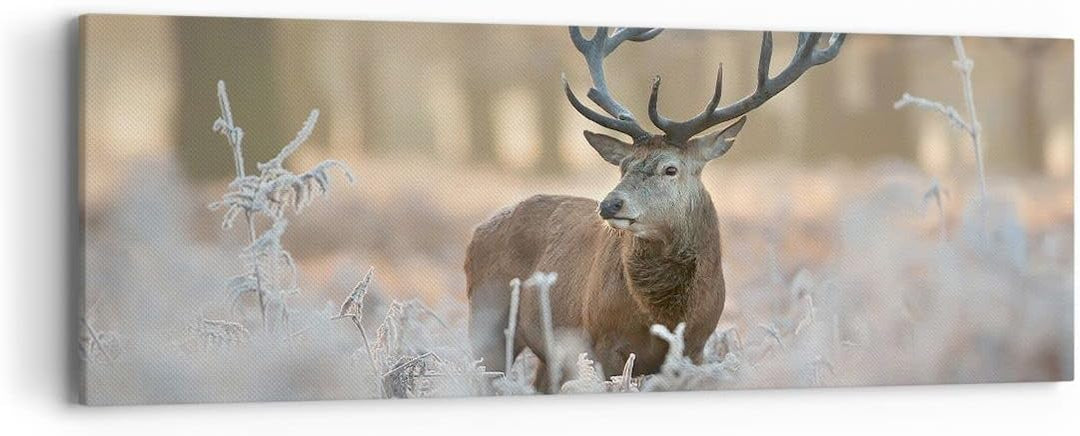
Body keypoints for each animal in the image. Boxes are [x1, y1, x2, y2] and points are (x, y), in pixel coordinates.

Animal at [466, 27, 845, 392]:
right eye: (623, 166)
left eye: (670, 169)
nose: (610, 203)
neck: (664, 315)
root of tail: (477, 232)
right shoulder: (602, 344)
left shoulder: (695, 349)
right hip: (486, 321)